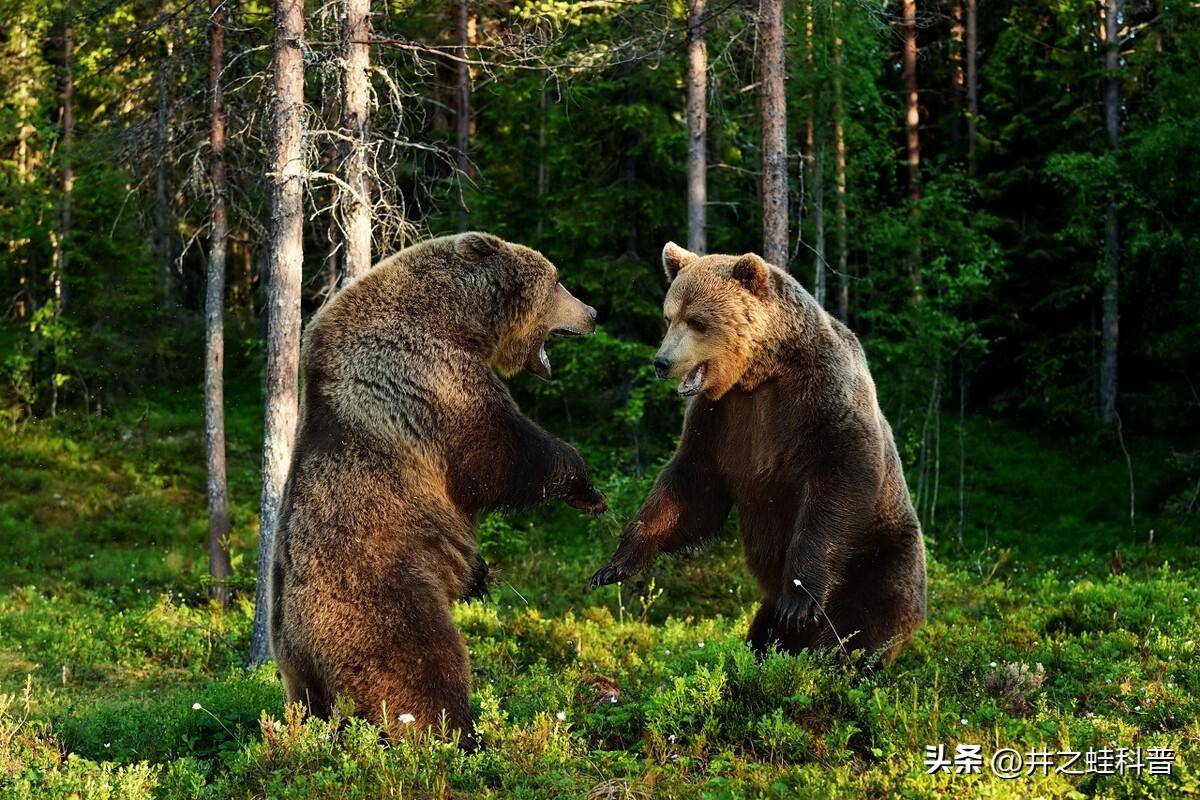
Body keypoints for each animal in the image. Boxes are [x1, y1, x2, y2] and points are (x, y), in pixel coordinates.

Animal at [273, 227, 609, 743]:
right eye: (557, 280)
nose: (592, 313)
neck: (455, 318)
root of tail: (295, 642)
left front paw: (480, 574)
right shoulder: (430, 378)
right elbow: (501, 452)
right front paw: (587, 488)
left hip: (303, 683)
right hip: (385, 601)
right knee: (424, 670)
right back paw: (461, 736)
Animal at [590, 242, 926, 662]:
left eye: (697, 321)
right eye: (669, 317)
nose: (661, 362)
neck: (762, 374)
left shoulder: (823, 400)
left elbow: (839, 480)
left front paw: (800, 598)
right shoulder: (722, 420)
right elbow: (689, 488)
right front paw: (614, 565)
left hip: (882, 557)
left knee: (866, 623)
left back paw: (837, 655)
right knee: (766, 630)